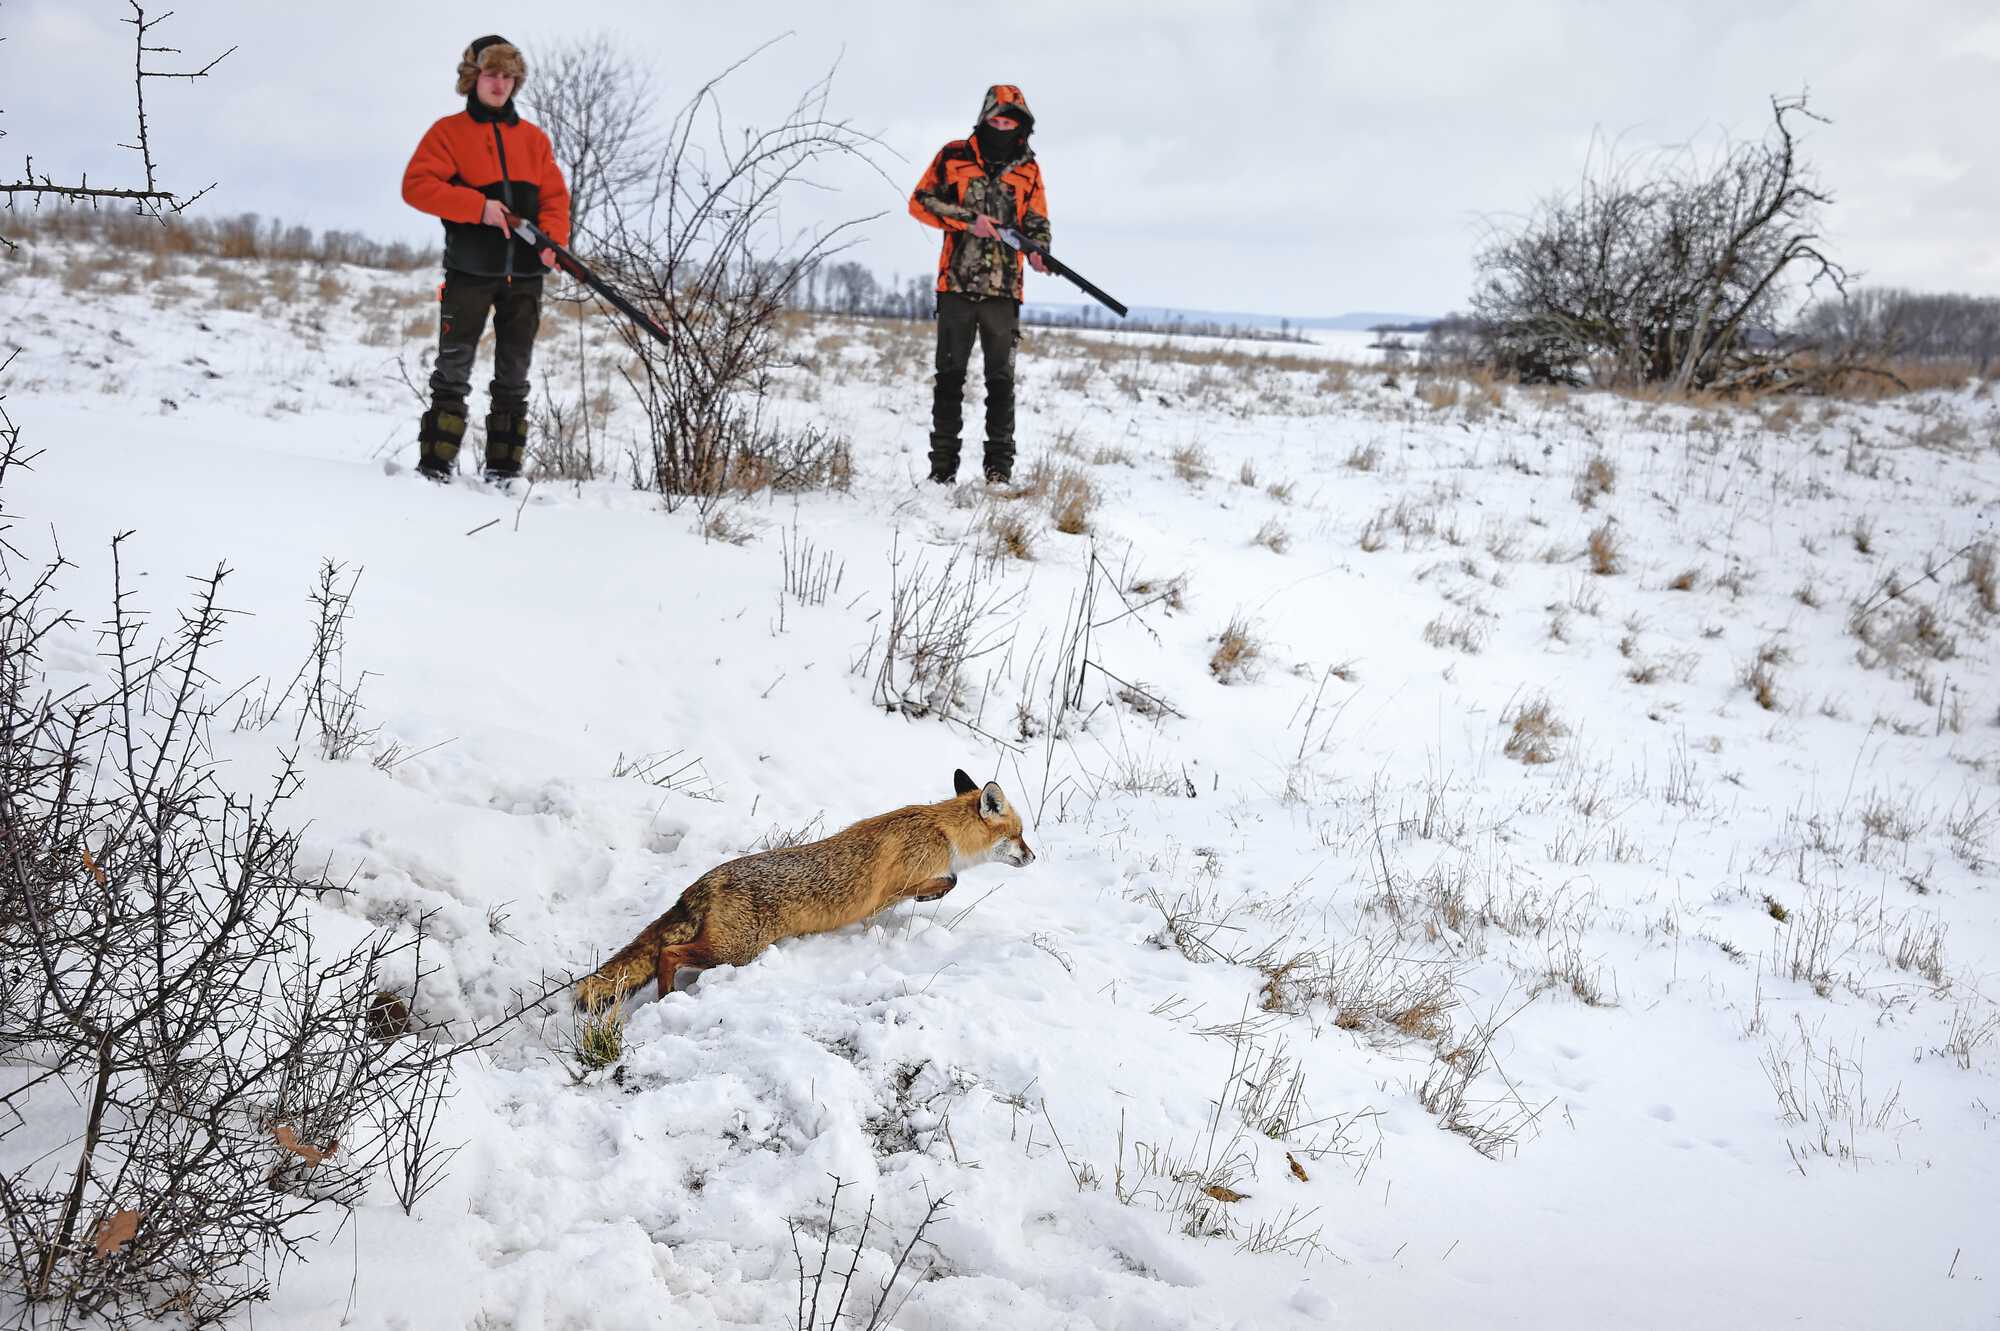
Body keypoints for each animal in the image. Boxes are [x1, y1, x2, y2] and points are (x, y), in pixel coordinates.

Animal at [568, 767, 1024, 1007]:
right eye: (1019, 835)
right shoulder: (897, 886)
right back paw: (666, 998)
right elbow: (951, 880)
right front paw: (934, 893)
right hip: (734, 951)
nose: (1034, 856)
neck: (940, 830)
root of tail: (707, 880)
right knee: (668, 952)